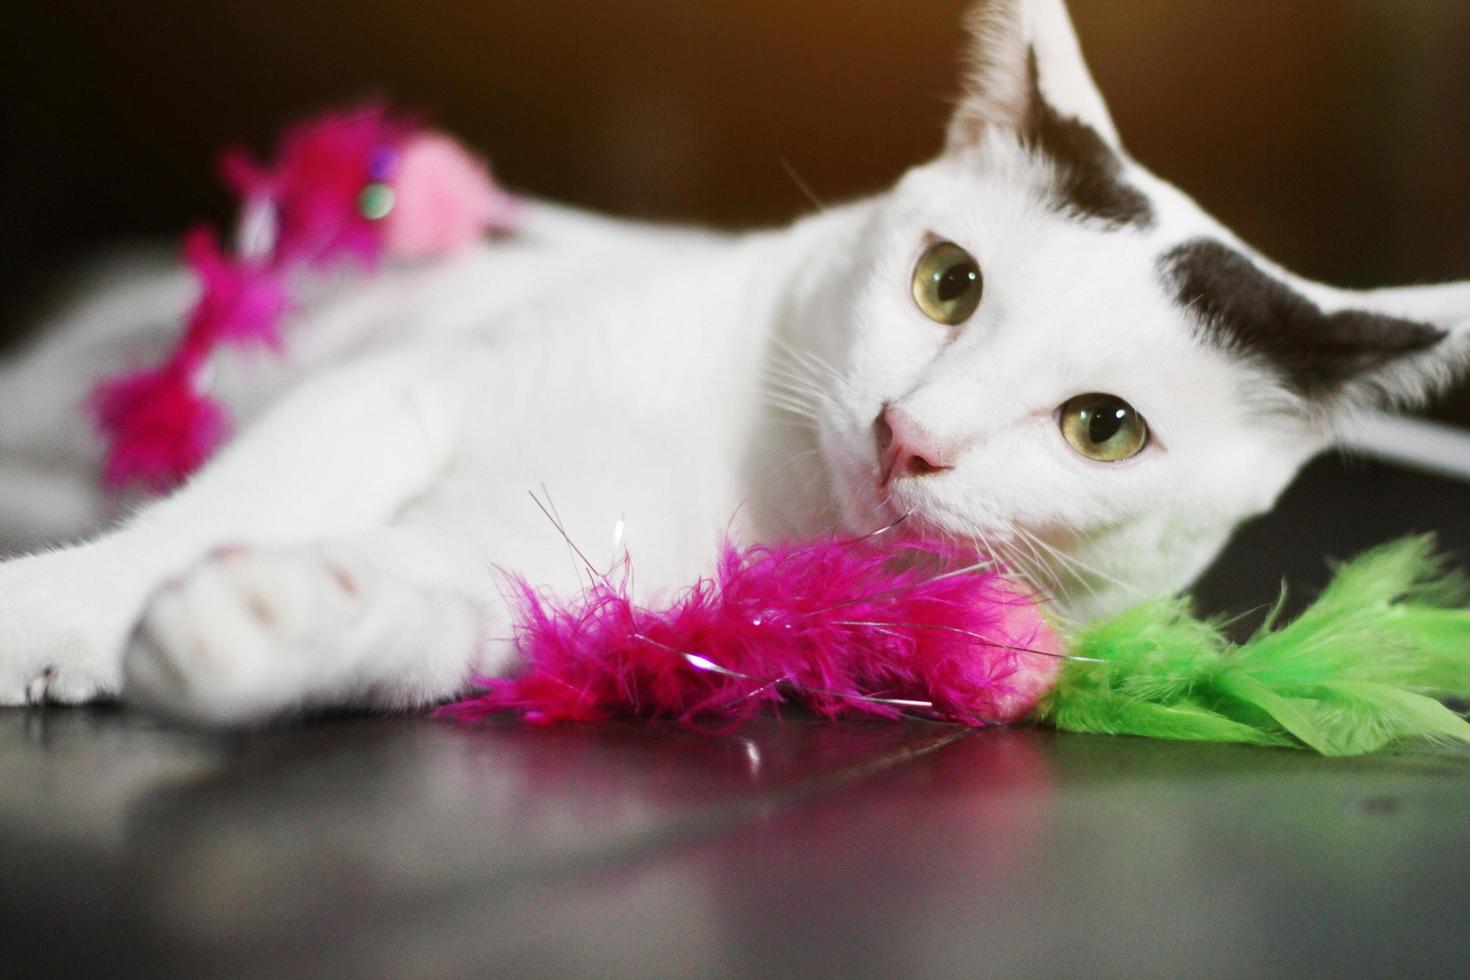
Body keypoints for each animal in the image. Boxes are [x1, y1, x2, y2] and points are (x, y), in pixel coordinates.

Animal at [0, 0, 1464, 719]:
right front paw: (59, 610)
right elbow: (235, 500)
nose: (910, 433)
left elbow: (411, 616)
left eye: (1104, 427)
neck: (757, 486)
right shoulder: (399, 392)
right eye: (947, 282)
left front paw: (248, 623)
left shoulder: (531, 587)